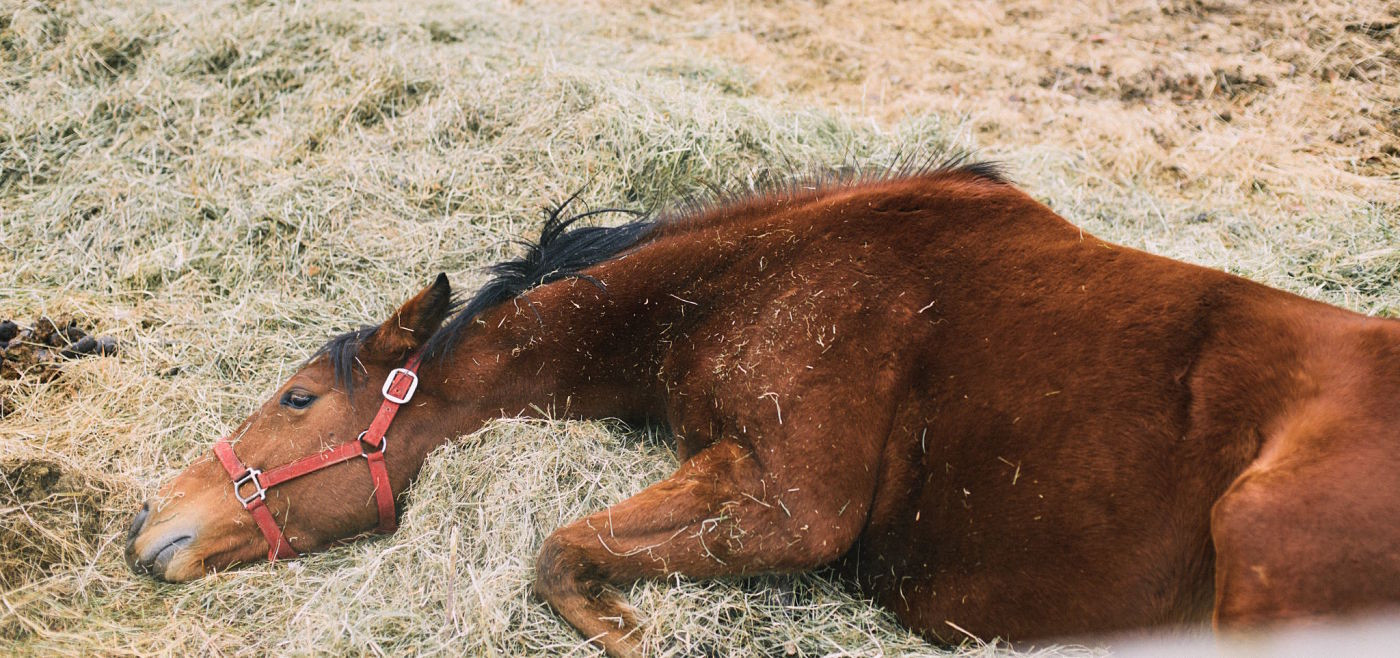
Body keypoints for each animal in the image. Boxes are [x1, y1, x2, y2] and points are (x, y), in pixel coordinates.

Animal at [125, 161, 1400, 656]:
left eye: (296, 396)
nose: (148, 527)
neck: (754, 279)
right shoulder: (726, 465)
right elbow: (566, 546)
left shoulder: (796, 502)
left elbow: (556, 551)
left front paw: (622, 629)